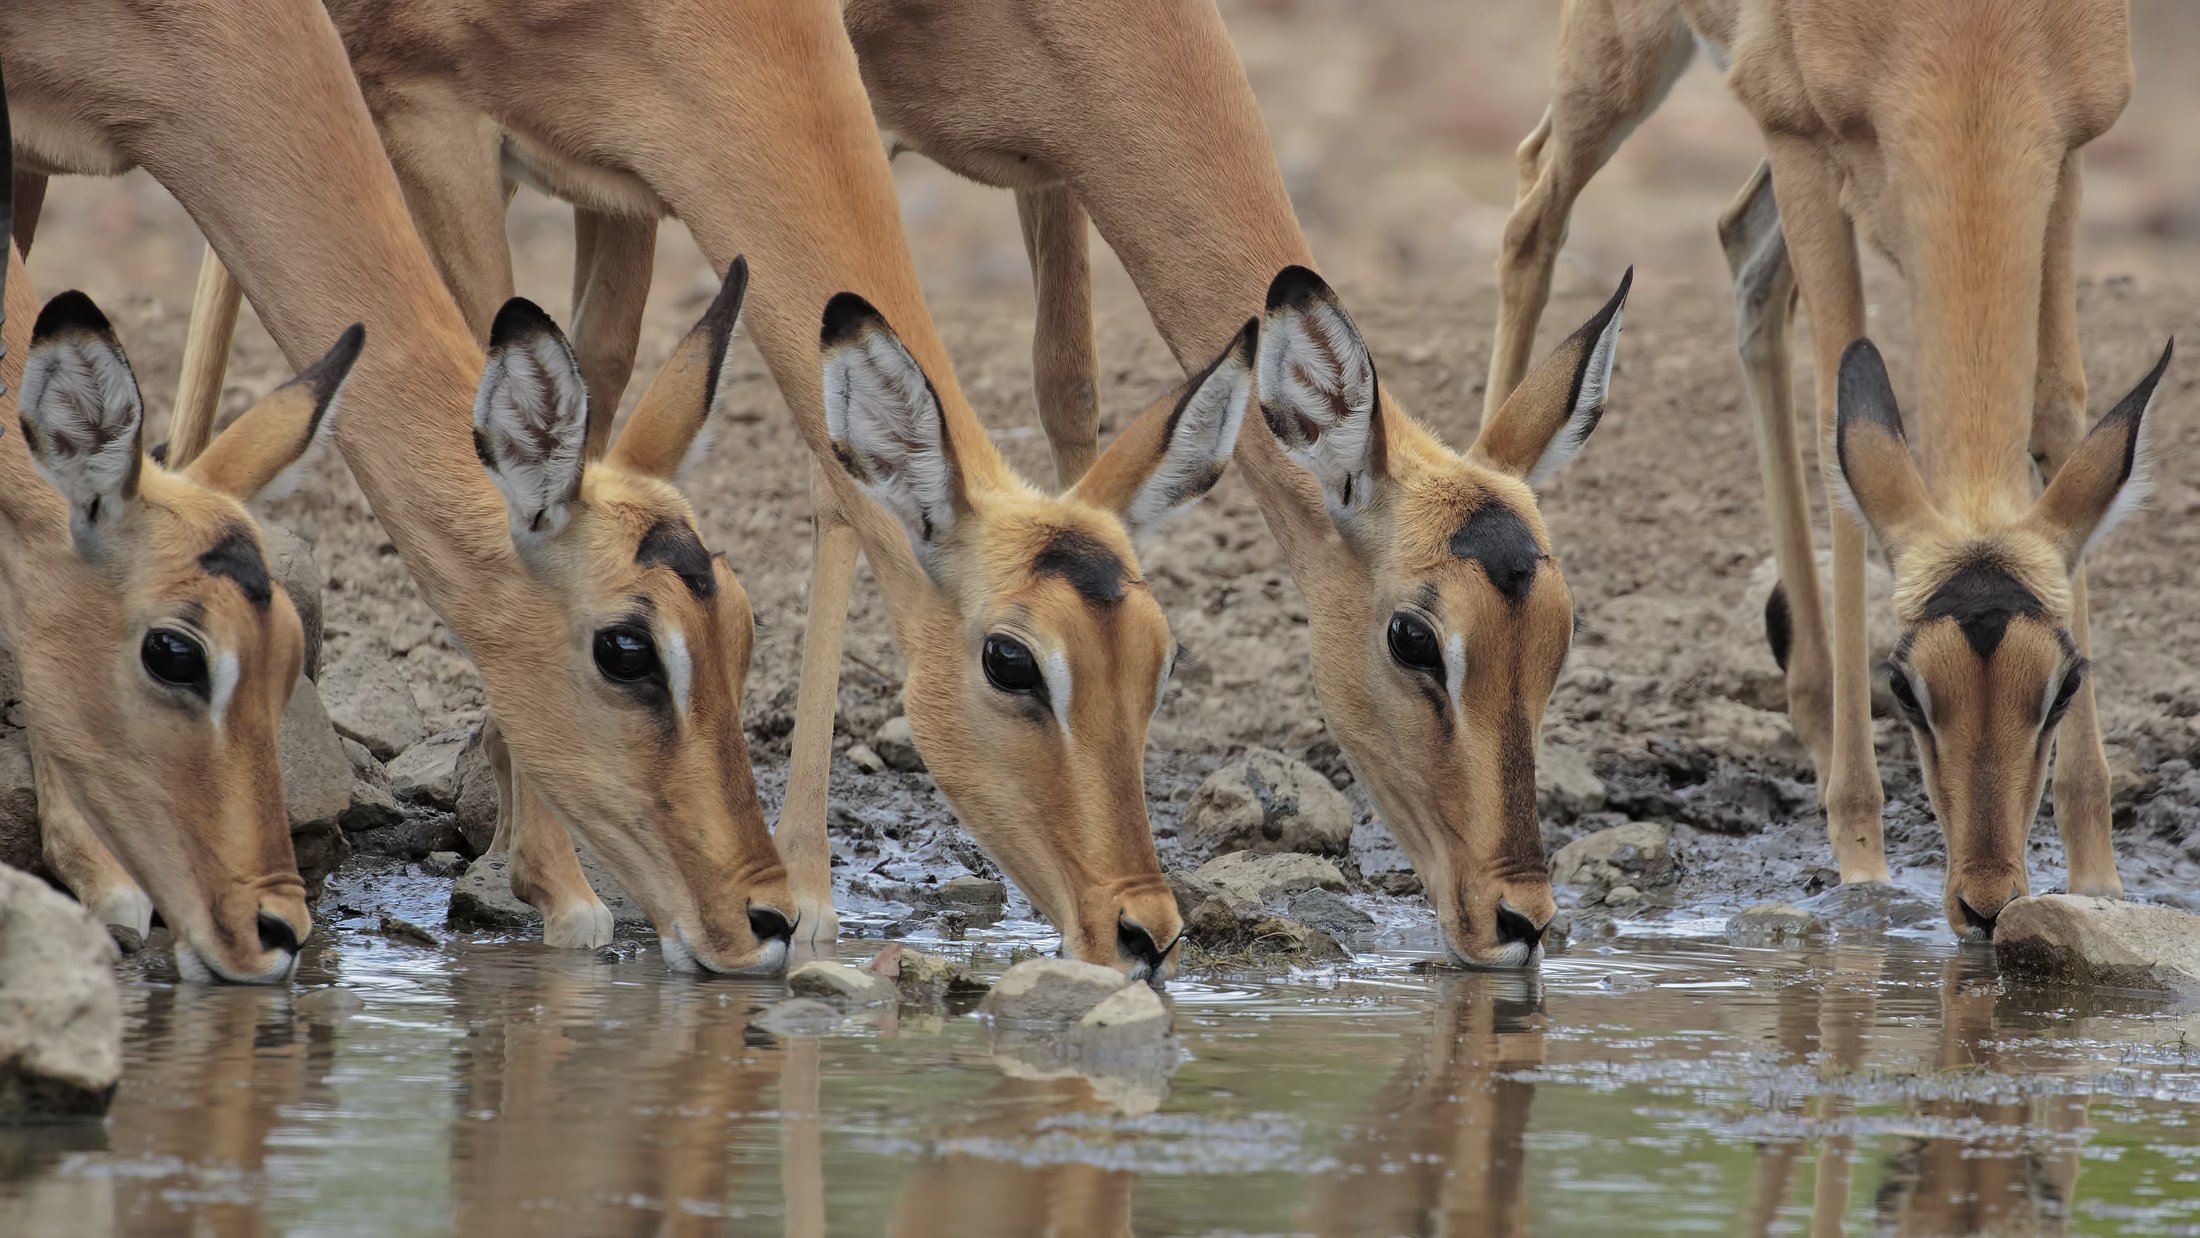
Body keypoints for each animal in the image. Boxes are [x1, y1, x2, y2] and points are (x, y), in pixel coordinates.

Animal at [1482, 0, 2164, 936]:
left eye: (2063, 687)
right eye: (1904, 687)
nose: (1985, 904)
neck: (1971, 45)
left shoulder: (2067, 155)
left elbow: (2059, 409)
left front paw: (2098, 877)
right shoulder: (1800, 138)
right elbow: (1834, 412)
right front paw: (1863, 859)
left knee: (1740, 249)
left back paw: (1809, 705)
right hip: (1621, 62)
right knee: (1532, 207)